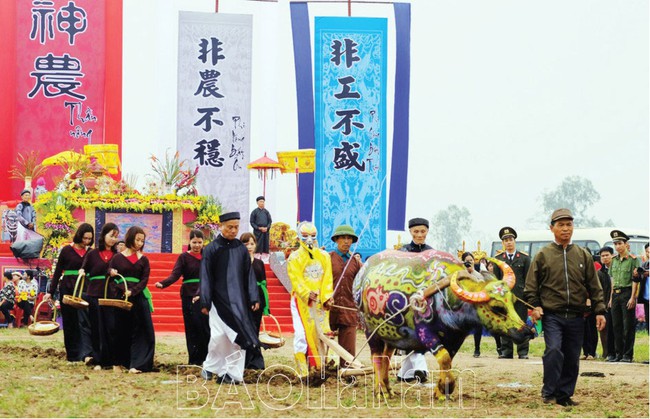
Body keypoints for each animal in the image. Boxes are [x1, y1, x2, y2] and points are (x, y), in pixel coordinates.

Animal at [352, 249, 536, 400]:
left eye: (513, 301)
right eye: (497, 308)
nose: (527, 331)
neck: (444, 296)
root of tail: (360, 276)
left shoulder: (457, 337)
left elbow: (448, 361)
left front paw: (440, 391)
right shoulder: (425, 333)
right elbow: (444, 358)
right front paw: (447, 387)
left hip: (391, 335)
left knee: (386, 357)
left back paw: (388, 390)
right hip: (370, 330)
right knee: (376, 357)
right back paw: (380, 391)